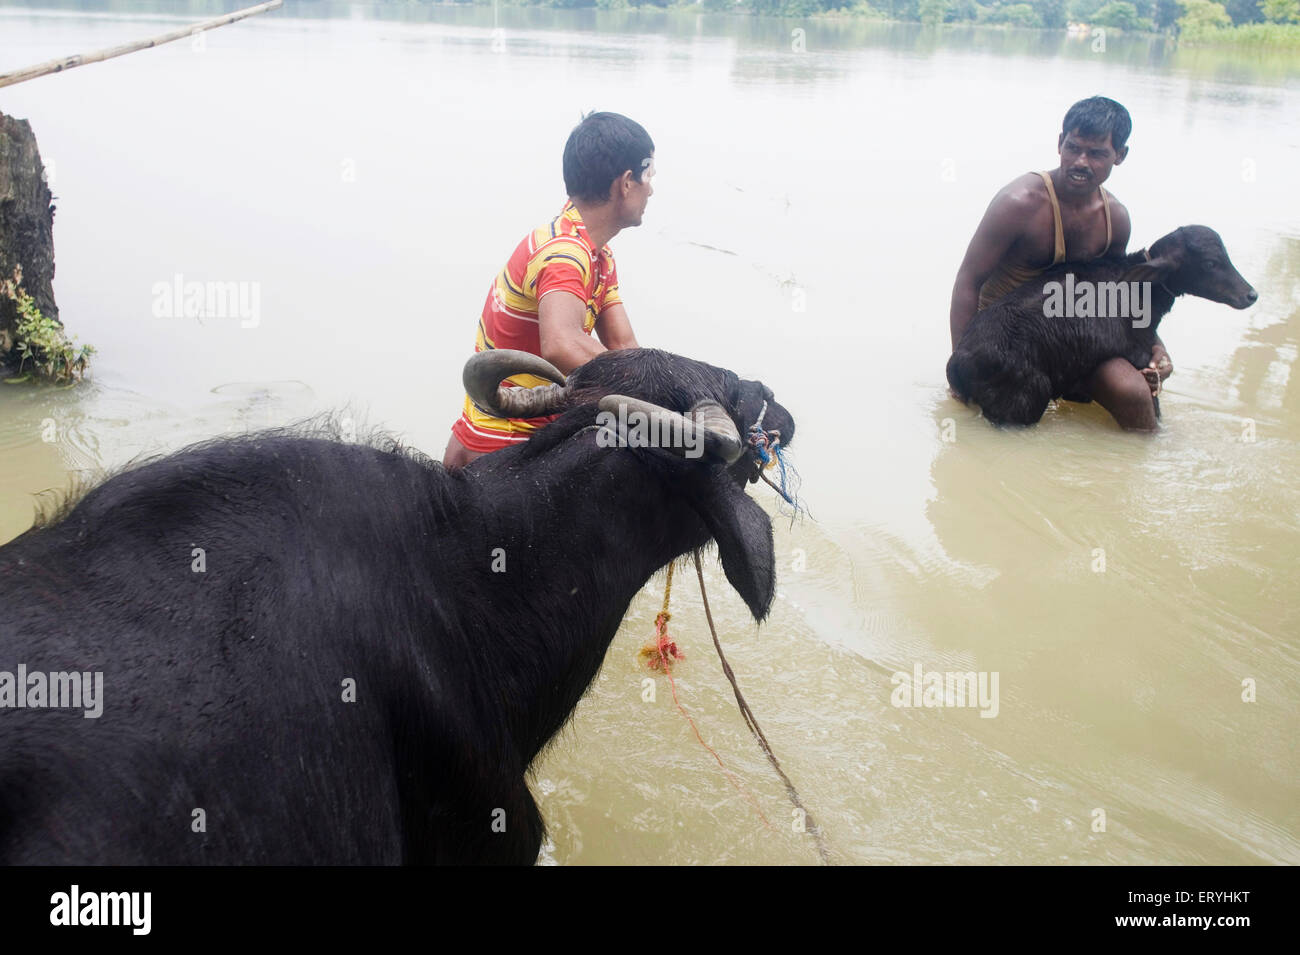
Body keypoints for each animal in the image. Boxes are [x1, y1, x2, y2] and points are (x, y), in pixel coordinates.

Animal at [946, 224, 1258, 426]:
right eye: (1210, 263)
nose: (1251, 294)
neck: (1143, 291)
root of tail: (959, 361)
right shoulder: (1140, 357)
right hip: (1021, 407)